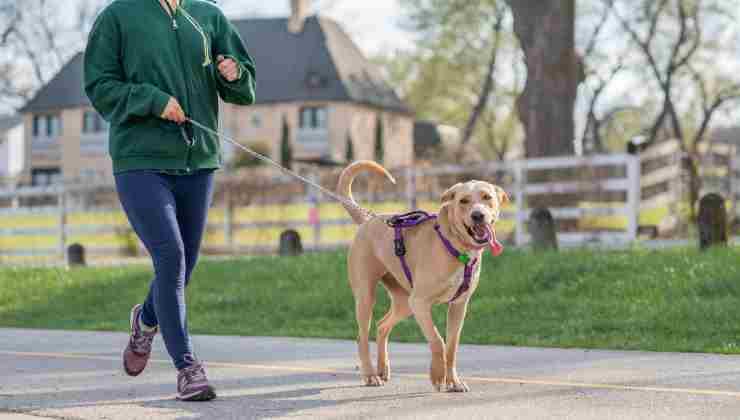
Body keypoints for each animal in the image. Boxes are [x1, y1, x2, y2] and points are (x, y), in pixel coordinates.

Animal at [336, 162, 506, 394]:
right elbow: (438, 341)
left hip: (404, 303)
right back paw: (371, 375)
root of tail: (368, 219)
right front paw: (437, 376)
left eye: (487, 197)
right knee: (362, 336)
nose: (478, 215)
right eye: (463, 201)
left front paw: (453, 381)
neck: (455, 244)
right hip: (367, 296)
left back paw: (383, 368)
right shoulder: (420, 303)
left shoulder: (459, 306)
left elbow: (451, 347)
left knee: (382, 325)